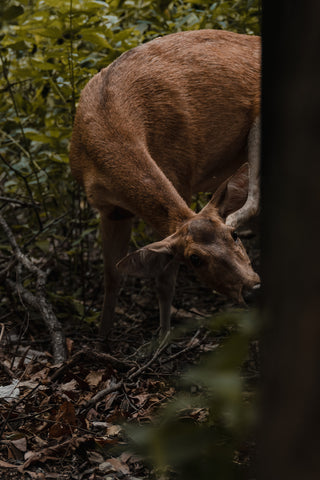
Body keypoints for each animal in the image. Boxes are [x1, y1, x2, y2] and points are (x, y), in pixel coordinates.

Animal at [69, 29, 260, 344]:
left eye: (233, 236)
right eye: (195, 259)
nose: (252, 288)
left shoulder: (180, 173)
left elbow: (164, 280)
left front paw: (161, 340)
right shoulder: (109, 209)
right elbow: (113, 276)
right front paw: (102, 339)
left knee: (255, 200)